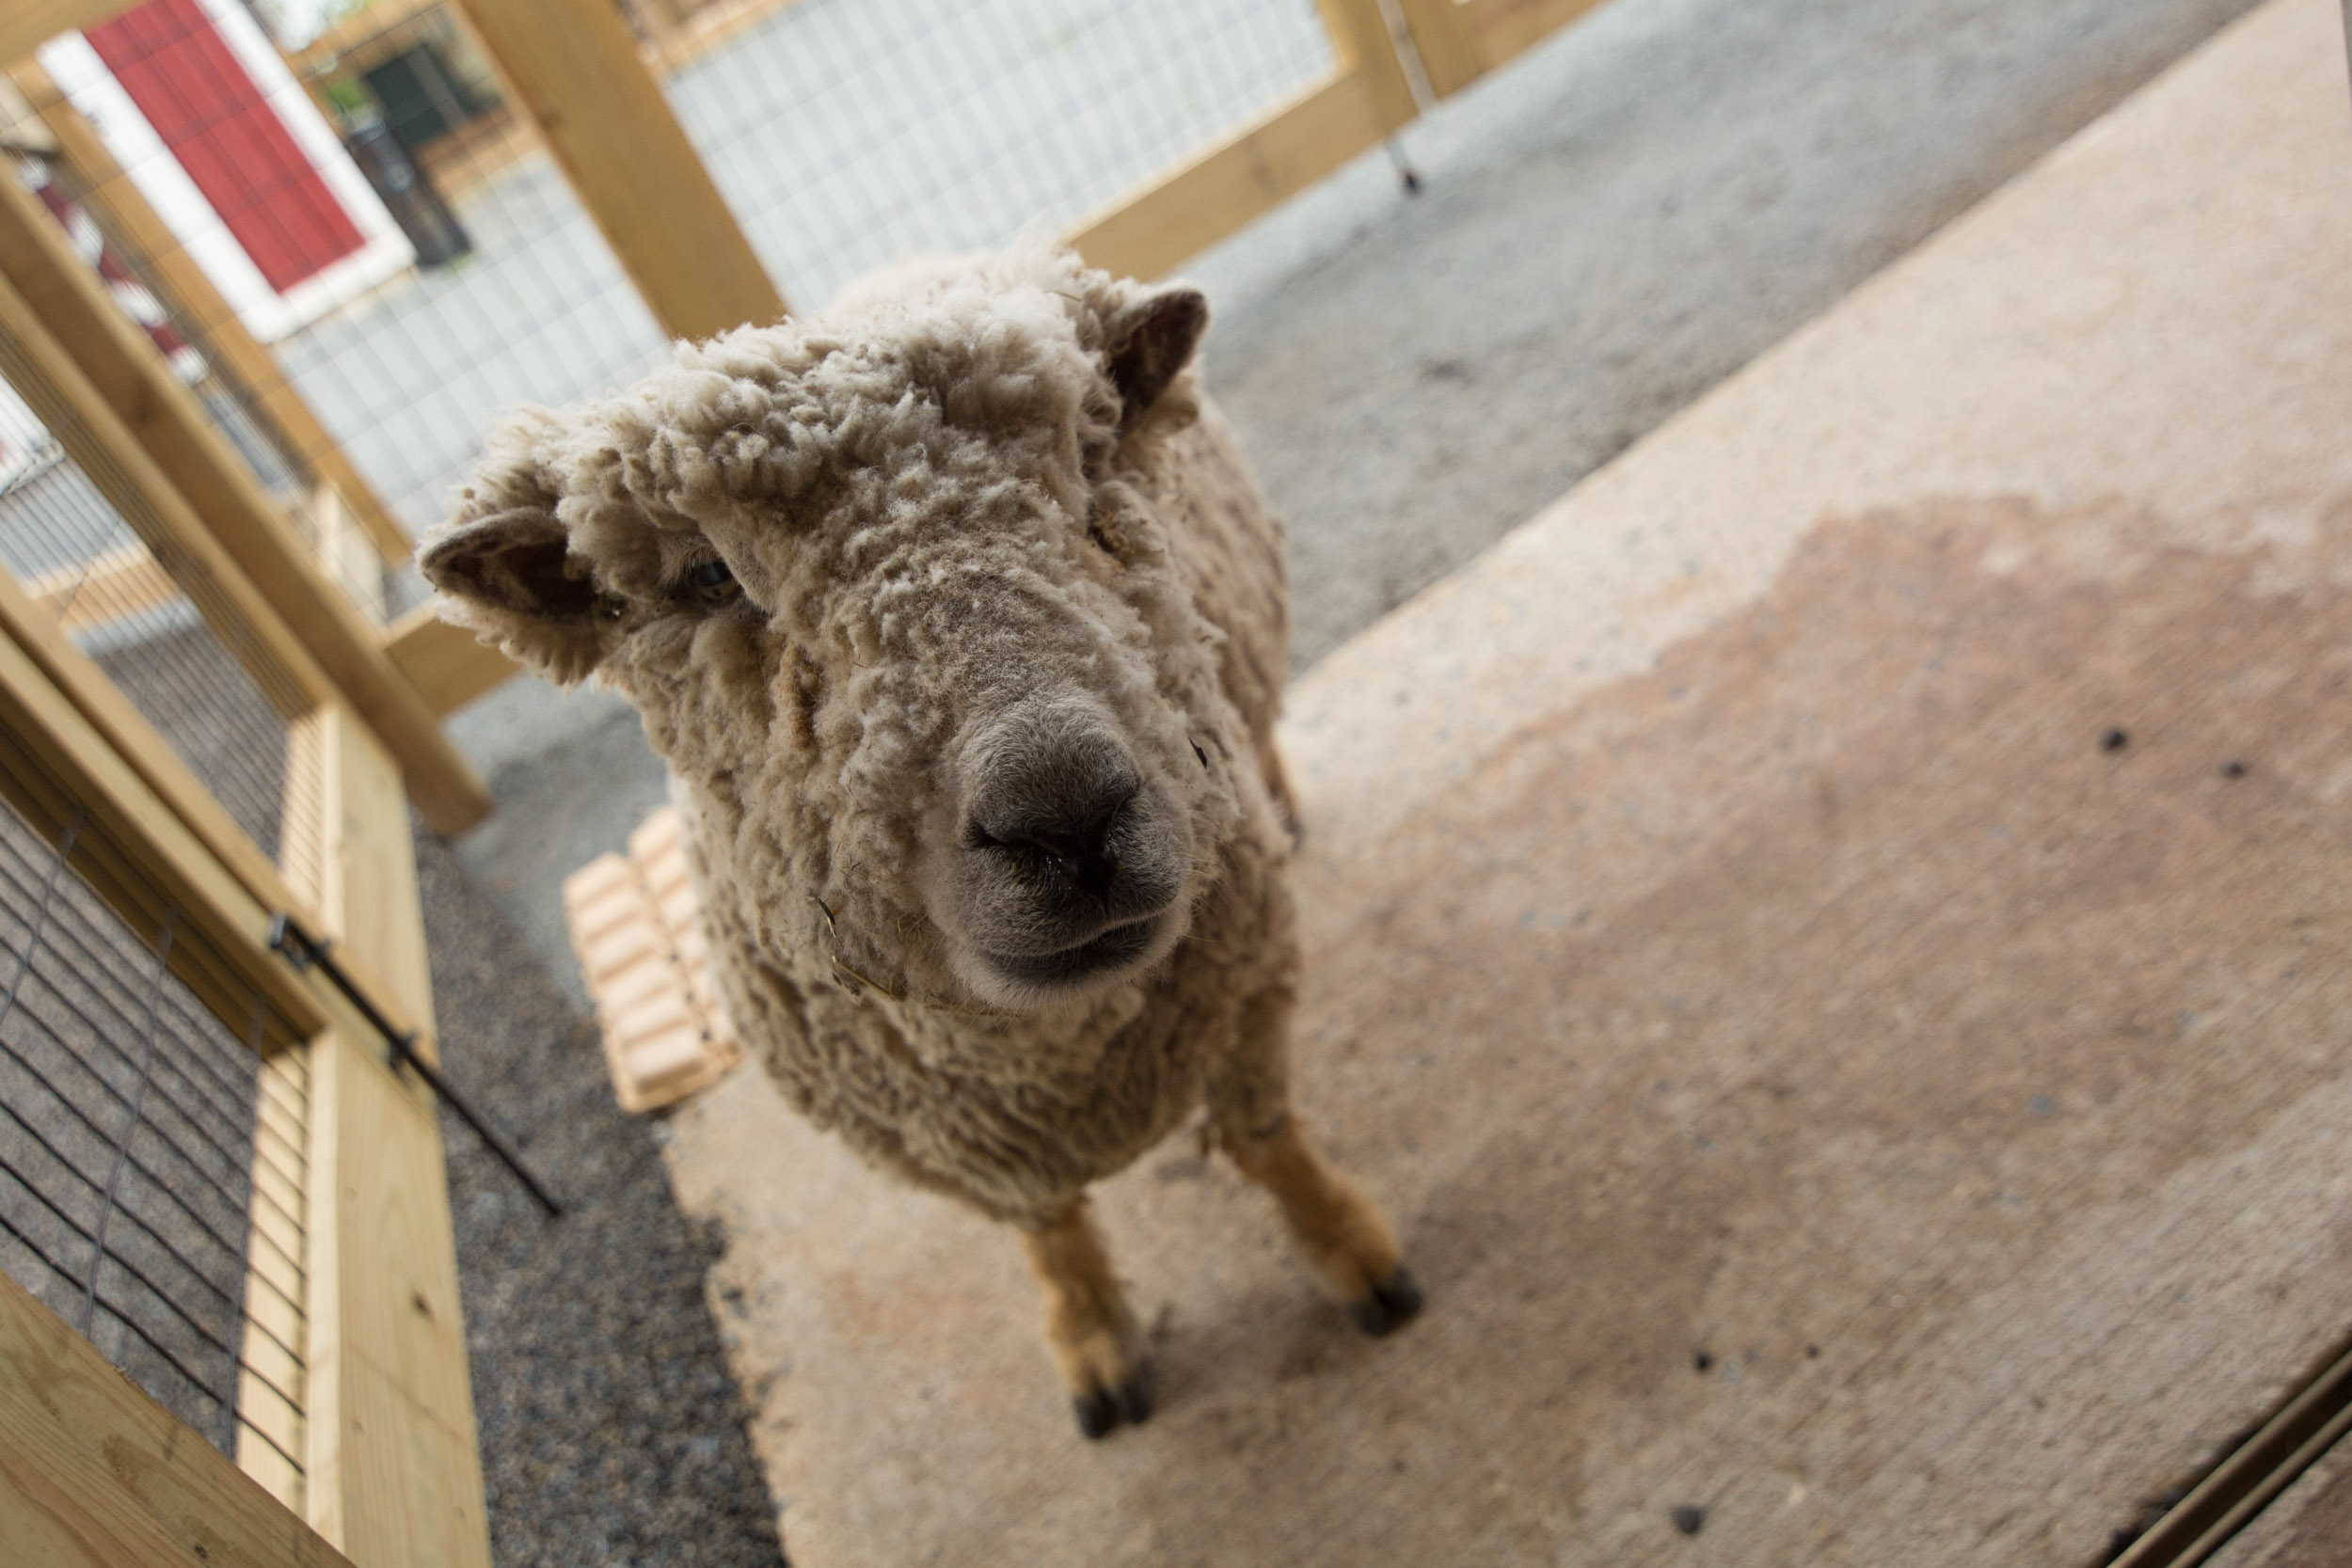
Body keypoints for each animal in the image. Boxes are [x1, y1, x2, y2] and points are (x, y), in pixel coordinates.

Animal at [419, 242, 1411, 1438]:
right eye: (703, 574)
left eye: (1086, 466)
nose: (1067, 815)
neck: (1063, 1056)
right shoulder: (971, 1147)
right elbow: (1050, 1232)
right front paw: (1092, 1342)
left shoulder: (1245, 992)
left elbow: (1271, 1146)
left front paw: (1353, 1253)